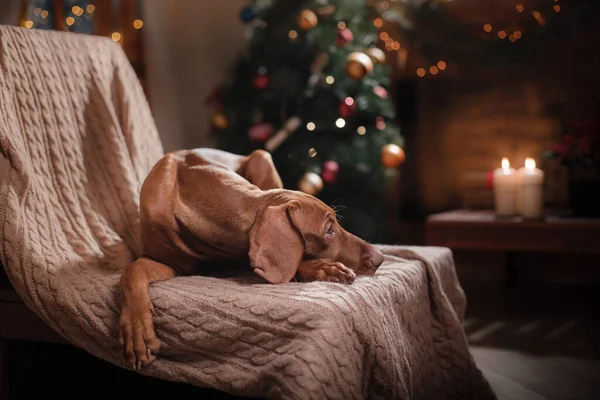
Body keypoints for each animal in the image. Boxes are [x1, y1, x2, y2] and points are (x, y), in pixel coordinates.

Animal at [119, 149, 384, 368]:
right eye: (329, 230)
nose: (380, 258)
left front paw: (322, 268)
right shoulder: (166, 262)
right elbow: (131, 270)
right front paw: (137, 331)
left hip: (262, 157)